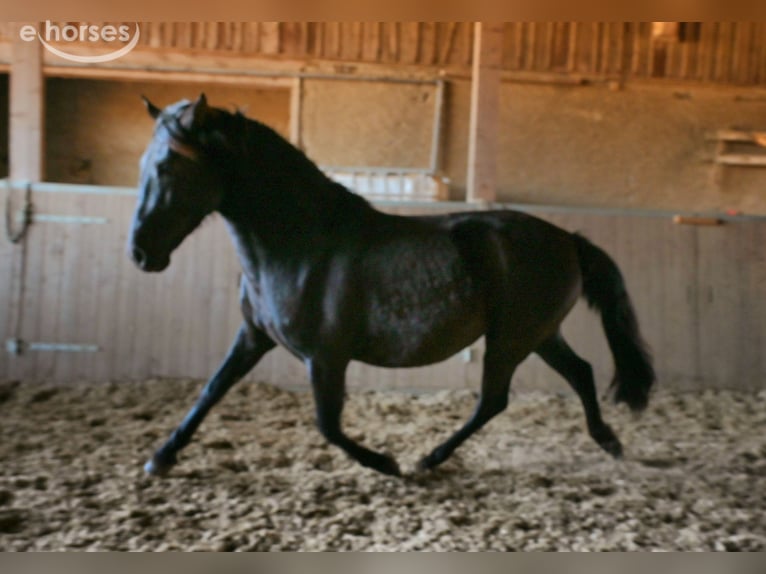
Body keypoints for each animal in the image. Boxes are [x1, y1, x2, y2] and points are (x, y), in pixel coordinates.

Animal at [129, 94, 655, 478]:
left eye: (168, 168)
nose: (139, 254)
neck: (300, 244)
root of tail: (568, 239)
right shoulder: (254, 336)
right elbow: (212, 390)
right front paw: (161, 457)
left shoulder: (325, 356)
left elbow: (328, 425)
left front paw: (385, 463)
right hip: (539, 334)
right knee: (580, 373)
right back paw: (609, 442)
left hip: (511, 338)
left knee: (494, 399)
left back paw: (428, 459)